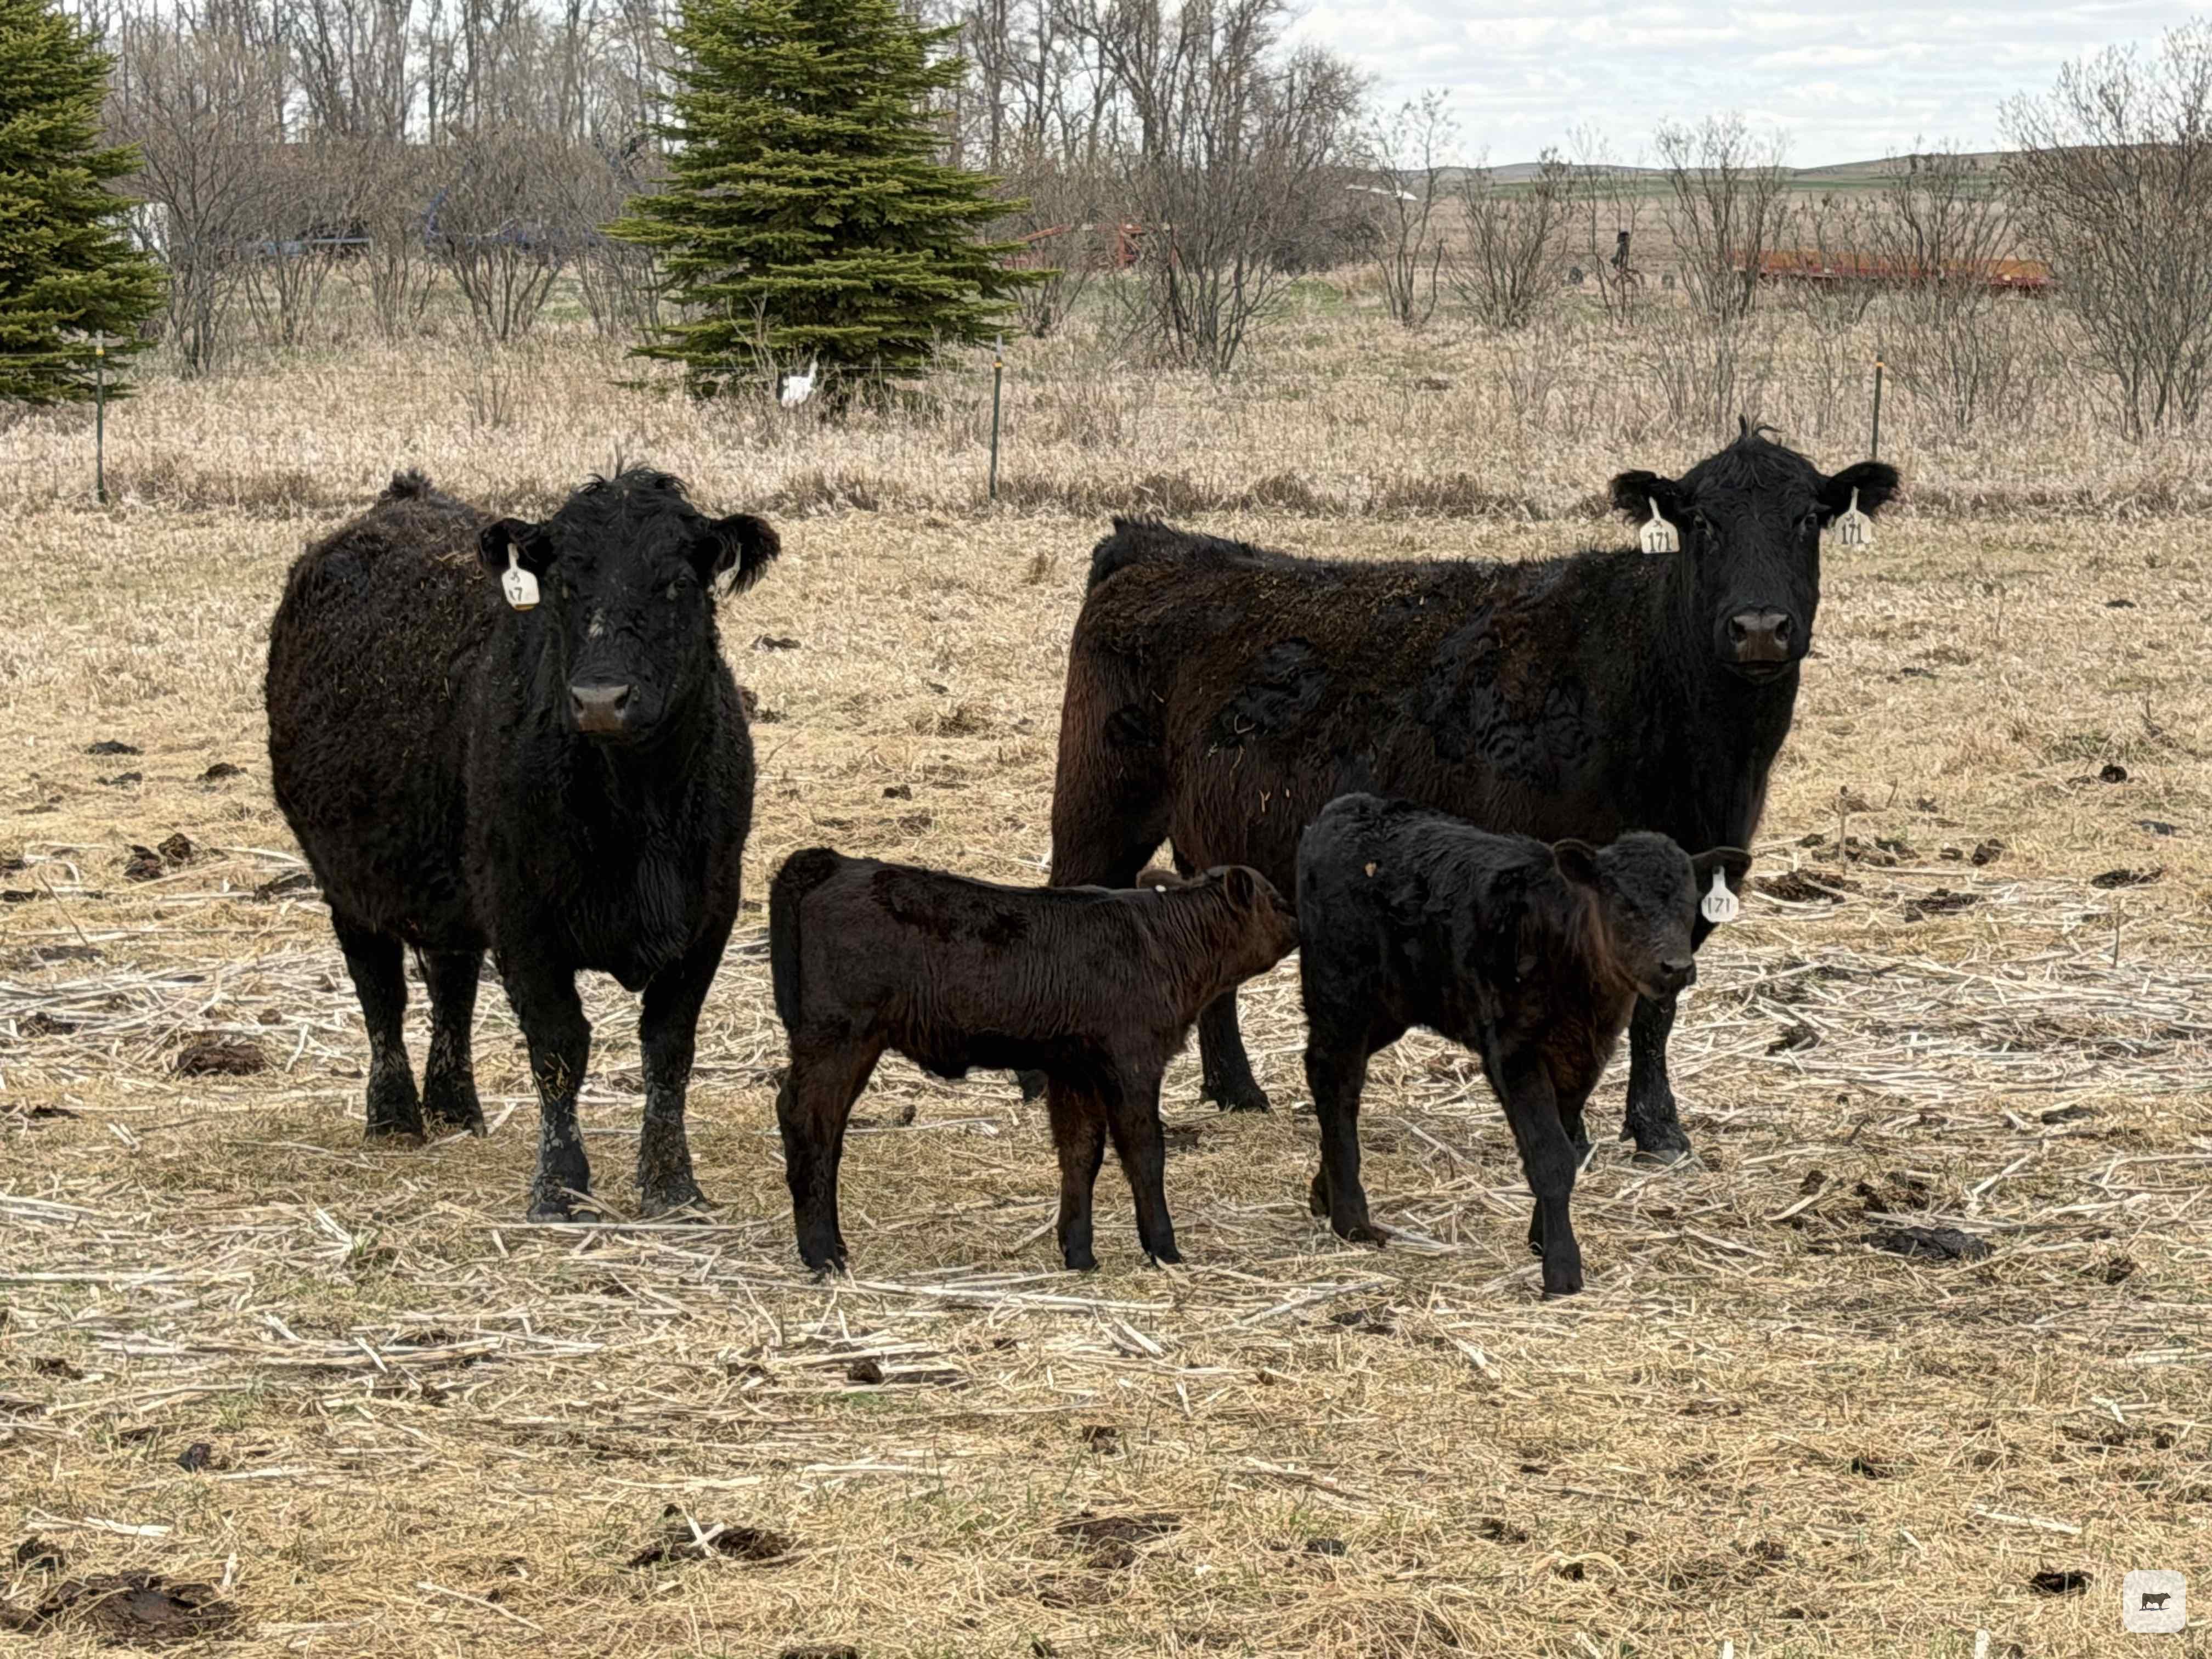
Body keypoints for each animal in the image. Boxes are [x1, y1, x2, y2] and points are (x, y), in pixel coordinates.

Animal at [265, 468, 778, 1220]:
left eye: (677, 583)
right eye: (563, 583)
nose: (601, 699)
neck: (637, 814)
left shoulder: (710, 913)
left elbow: (668, 1048)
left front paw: (671, 1184)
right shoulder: (523, 919)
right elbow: (560, 1047)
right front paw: (560, 1185)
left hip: (449, 890)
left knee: (451, 987)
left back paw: (455, 1107)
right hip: (347, 879)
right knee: (381, 990)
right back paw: (394, 1117)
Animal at [767, 851, 1297, 1274]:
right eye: (1276, 899)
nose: (1301, 922)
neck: (1163, 944)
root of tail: (835, 863)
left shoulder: (1073, 1070)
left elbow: (1081, 1153)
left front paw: (1079, 1253)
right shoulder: (1133, 1063)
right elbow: (1145, 1154)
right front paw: (1164, 1250)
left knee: (828, 1130)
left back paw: (834, 1245)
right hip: (838, 1037)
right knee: (807, 1121)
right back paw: (822, 1254)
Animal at [1039, 423, 1895, 1161]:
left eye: (1808, 518)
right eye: (1702, 523)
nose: (1760, 628)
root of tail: (1157, 545)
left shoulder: (1695, 875)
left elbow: (1657, 1010)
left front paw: (1658, 1132)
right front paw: (1567, 1132)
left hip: (1214, 833)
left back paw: (1237, 1090)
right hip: (1098, 809)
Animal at [1297, 795, 1751, 1296]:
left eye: (1690, 905)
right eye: (1625, 905)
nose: (1676, 967)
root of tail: (1347, 808)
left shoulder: (1582, 1056)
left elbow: (1566, 1146)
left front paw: (1541, 1238)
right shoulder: (1516, 1050)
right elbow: (1550, 1156)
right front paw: (1562, 1269)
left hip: (1392, 1006)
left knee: (1331, 1072)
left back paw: (1325, 1192)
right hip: (1342, 991)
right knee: (1336, 1081)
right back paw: (1352, 1219)